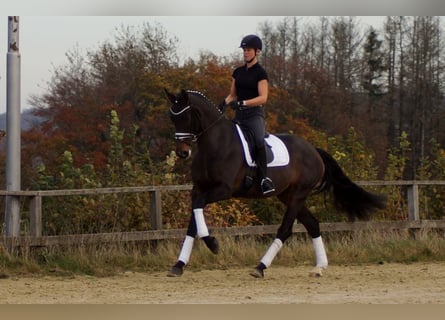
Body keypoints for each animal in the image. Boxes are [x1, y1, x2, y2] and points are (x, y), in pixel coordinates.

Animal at [163, 88, 386, 278]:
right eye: (172, 118)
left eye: (185, 117)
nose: (182, 153)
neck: (215, 144)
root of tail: (314, 150)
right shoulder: (199, 189)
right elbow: (194, 218)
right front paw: (179, 265)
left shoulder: (223, 190)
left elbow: (198, 208)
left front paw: (212, 244)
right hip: (288, 195)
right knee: (312, 224)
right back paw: (319, 267)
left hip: (298, 195)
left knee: (285, 229)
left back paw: (260, 267)